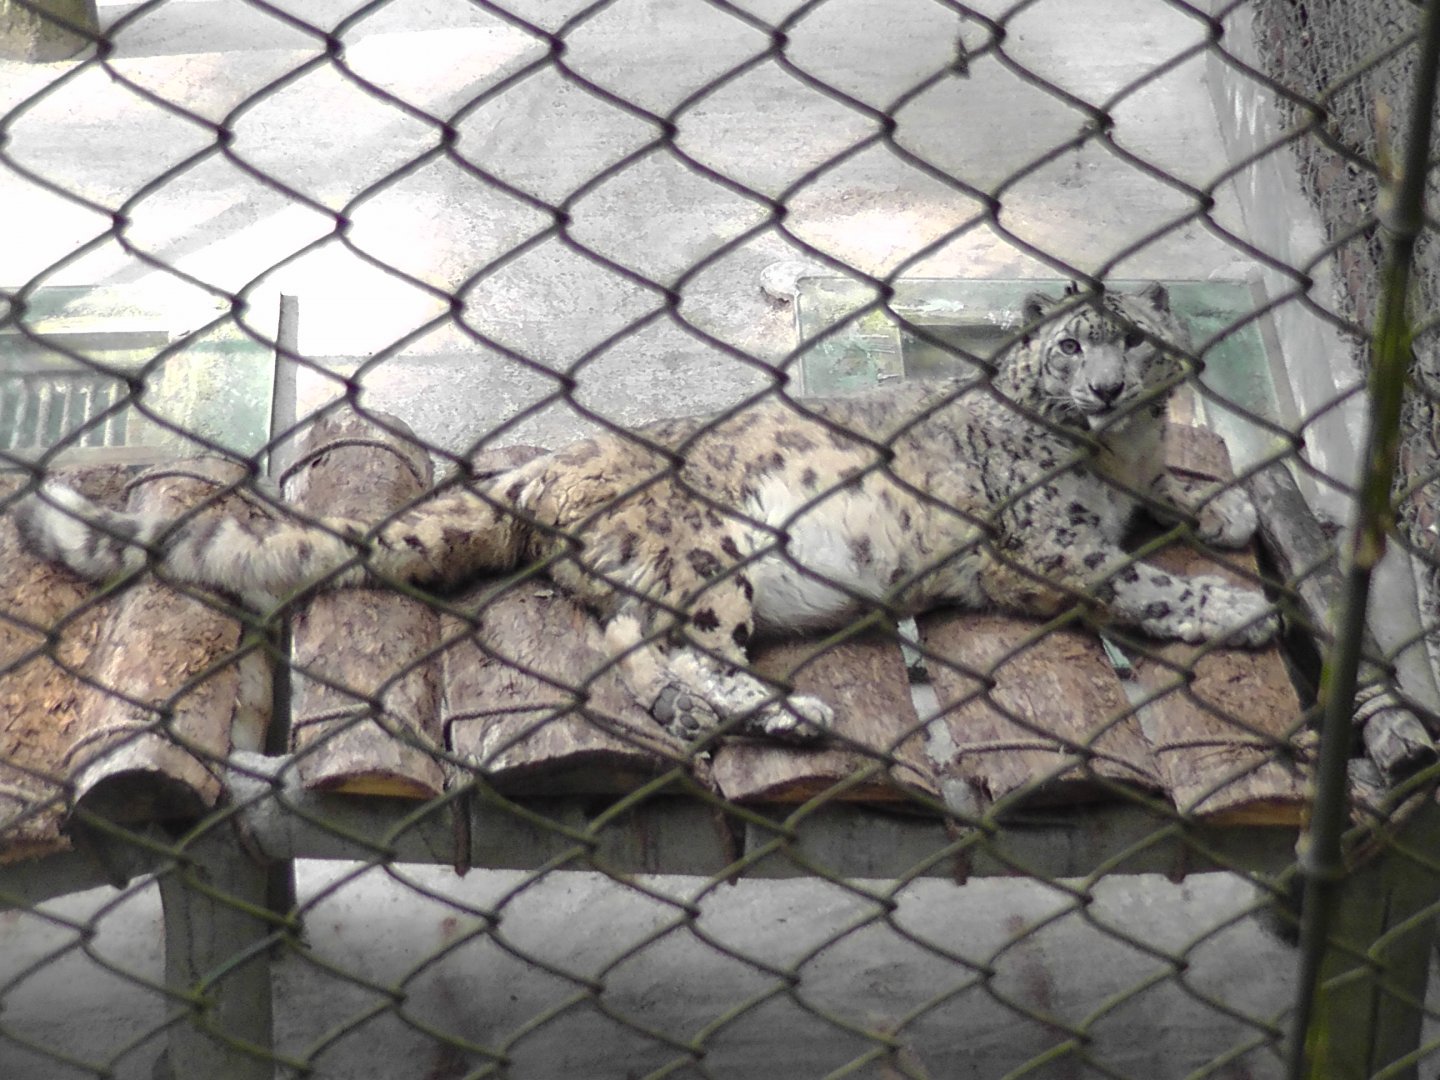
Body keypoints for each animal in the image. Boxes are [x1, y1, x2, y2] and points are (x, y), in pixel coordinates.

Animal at [14, 281, 1276, 745]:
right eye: (1070, 347)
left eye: (1137, 342)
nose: (1105, 389)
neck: (1111, 450)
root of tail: (551, 466)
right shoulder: (1047, 542)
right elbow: (1134, 577)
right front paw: (1233, 607)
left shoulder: (1125, 483)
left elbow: (1162, 511)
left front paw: (1220, 515)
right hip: (705, 553)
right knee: (660, 645)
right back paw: (785, 713)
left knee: (633, 645)